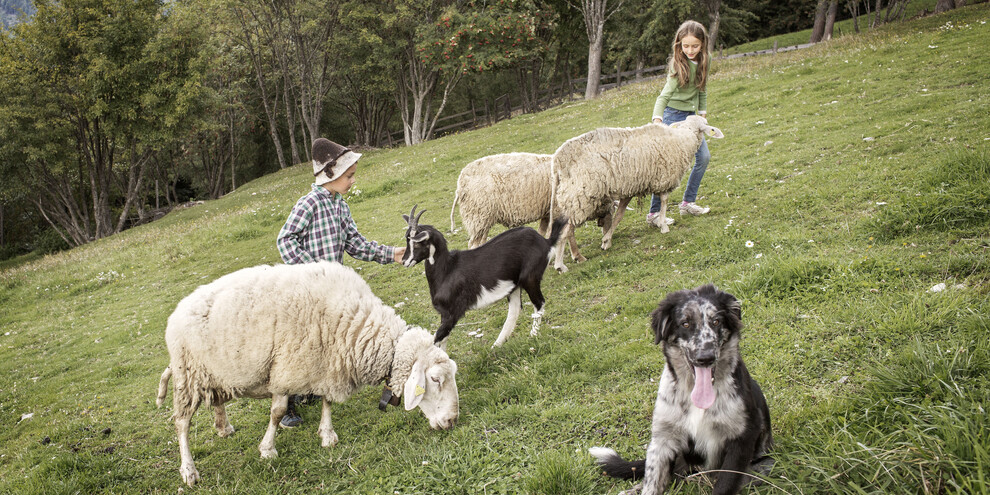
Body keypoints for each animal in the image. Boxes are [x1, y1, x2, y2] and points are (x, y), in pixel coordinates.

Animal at [155, 264, 462, 488]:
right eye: (435, 380)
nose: (452, 420)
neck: (355, 326)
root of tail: (176, 312)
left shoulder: (326, 367)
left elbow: (327, 401)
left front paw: (327, 434)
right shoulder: (286, 371)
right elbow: (277, 413)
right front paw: (268, 449)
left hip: (214, 373)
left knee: (216, 400)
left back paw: (223, 427)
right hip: (188, 375)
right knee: (181, 424)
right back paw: (189, 471)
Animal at [452, 153, 620, 264]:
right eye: (610, 209)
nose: (607, 242)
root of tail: (459, 186)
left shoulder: (547, 213)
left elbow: (542, 232)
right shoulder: (561, 209)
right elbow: (569, 233)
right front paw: (578, 256)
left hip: (481, 220)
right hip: (478, 216)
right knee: (473, 245)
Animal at [548, 115, 724, 274]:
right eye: (704, 125)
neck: (684, 137)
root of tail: (557, 161)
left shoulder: (630, 187)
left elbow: (619, 215)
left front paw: (606, 240)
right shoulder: (664, 178)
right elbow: (664, 201)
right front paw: (663, 226)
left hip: (572, 199)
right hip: (580, 197)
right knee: (564, 232)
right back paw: (561, 265)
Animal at [588, 284, 776, 494]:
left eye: (716, 321)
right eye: (685, 324)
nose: (706, 358)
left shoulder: (743, 437)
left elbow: (725, 484)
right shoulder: (662, 439)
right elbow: (651, 482)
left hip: (766, 464)